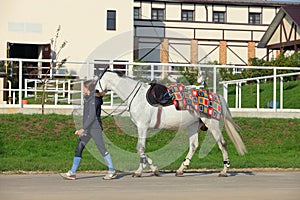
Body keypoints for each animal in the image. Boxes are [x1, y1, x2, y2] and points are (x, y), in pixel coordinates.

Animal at [96, 68, 246, 177]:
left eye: (97, 79)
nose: (96, 92)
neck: (137, 97)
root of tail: (216, 96)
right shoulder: (143, 128)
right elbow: (142, 149)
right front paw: (154, 168)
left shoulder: (142, 127)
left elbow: (140, 148)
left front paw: (139, 171)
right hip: (192, 125)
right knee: (193, 146)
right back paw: (180, 170)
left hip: (212, 124)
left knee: (222, 143)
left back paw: (224, 171)